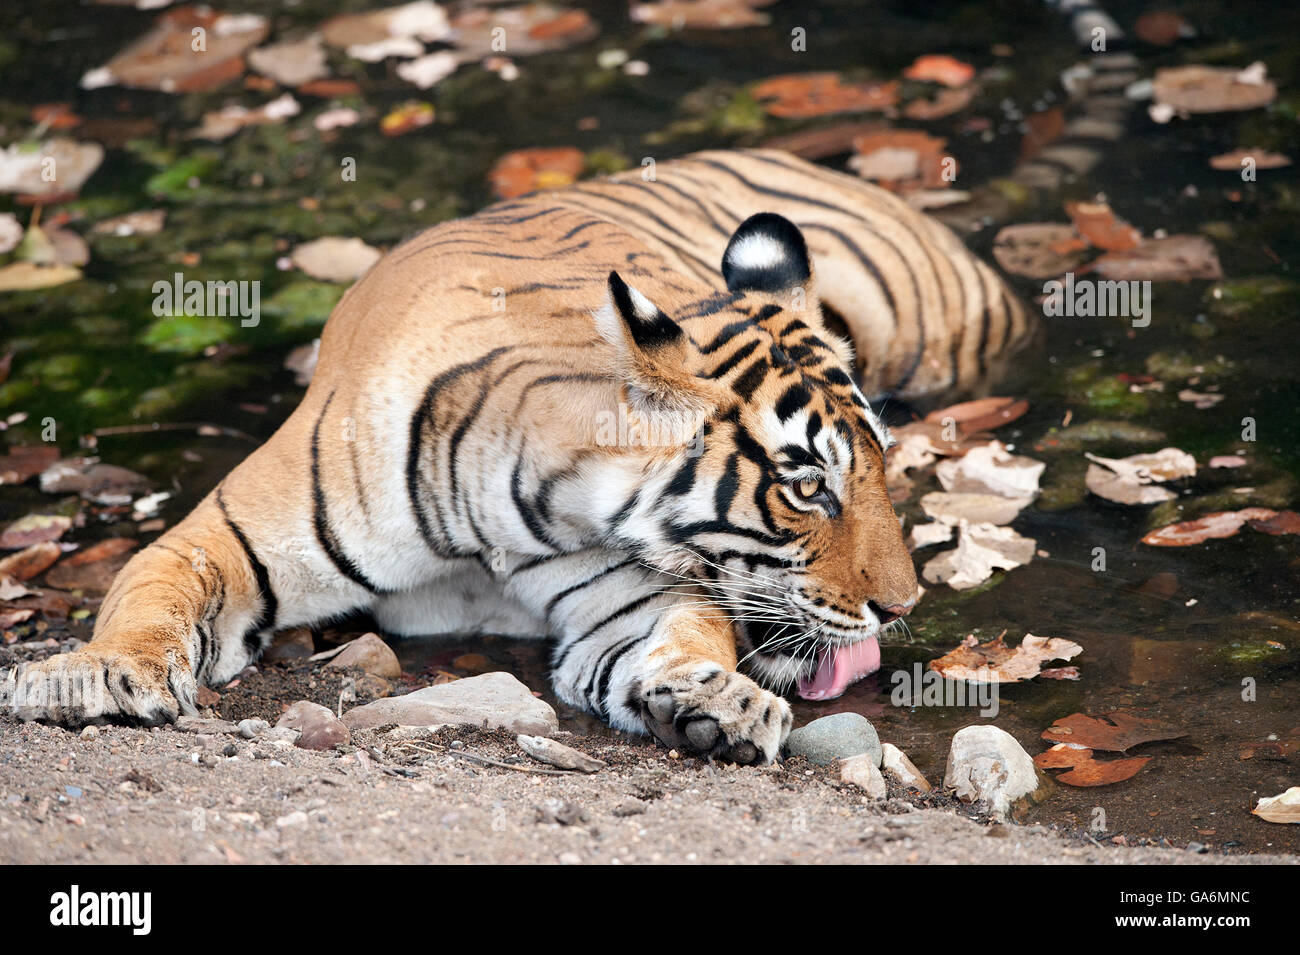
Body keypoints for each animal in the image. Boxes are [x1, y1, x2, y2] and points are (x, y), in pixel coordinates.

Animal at [5, 149, 1029, 764]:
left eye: (881, 470)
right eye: (808, 486)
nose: (903, 608)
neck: (518, 516)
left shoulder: (627, 596)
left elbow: (685, 631)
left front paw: (715, 700)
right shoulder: (218, 535)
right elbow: (150, 600)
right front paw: (101, 676)